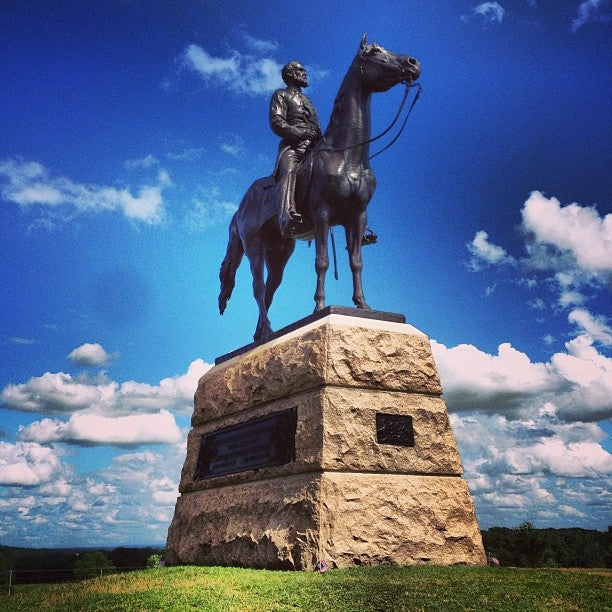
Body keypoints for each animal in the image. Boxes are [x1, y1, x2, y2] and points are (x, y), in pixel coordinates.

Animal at [219, 35, 420, 342]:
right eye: (374, 52)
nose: (413, 63)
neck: (348, 155)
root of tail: (239, 207)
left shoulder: (357, 217)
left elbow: (356, 262)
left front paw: (363, 305)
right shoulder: (323, 215)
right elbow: (322, 261)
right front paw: (319, 307)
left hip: (280, 251)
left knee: (270, 288)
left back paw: (261, 335)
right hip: (254, 246)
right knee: (257, 286)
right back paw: (269, 329)